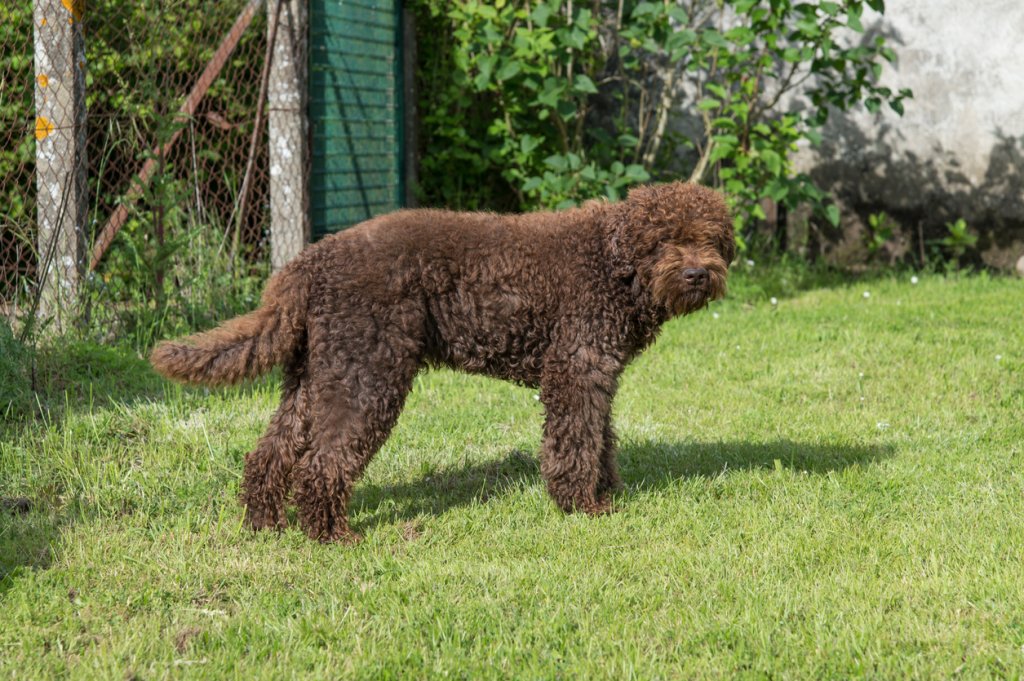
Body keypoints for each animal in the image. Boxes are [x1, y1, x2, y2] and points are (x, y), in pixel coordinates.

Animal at [148, 180, 733, 540]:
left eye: (710, 240)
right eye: (664, 241)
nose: (697, 274)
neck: (612, 264)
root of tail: (311, 261)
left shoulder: (597, 371)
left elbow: (601, 439)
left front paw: (607, 495)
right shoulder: (577, 368)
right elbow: (576, 443)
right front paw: (580, 506)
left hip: (315, 376)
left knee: (271, 454)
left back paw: (265, 523)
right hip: (367, 375)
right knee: (322, 462)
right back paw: (332, 534)